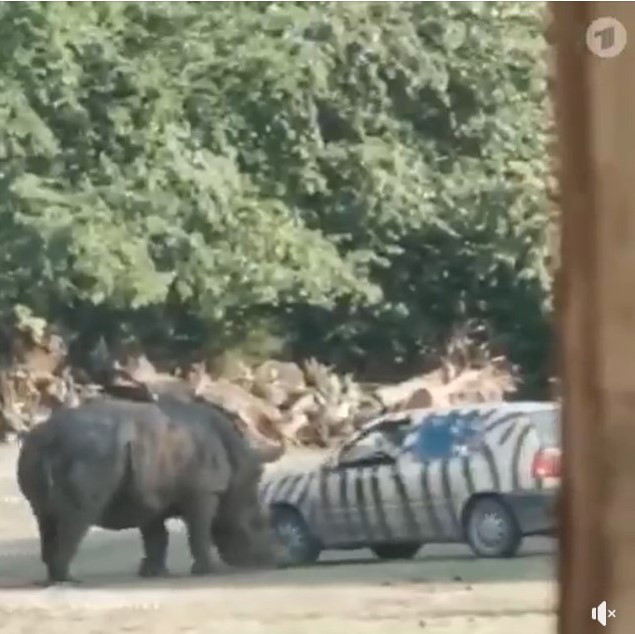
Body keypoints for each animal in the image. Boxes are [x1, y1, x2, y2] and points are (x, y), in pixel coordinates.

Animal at [16, 390, 284, 584]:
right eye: (260, 523)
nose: (273, 560)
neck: (240, 473)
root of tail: (50, 438)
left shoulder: (149, 492)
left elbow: (156, 536)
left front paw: (154, 574)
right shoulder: (204, 490)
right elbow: (199, 531)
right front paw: (207, 571)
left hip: (36, 451)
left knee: (44, 516)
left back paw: (54, 579)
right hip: (91, 453)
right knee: (78, 517)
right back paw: (70, 580)